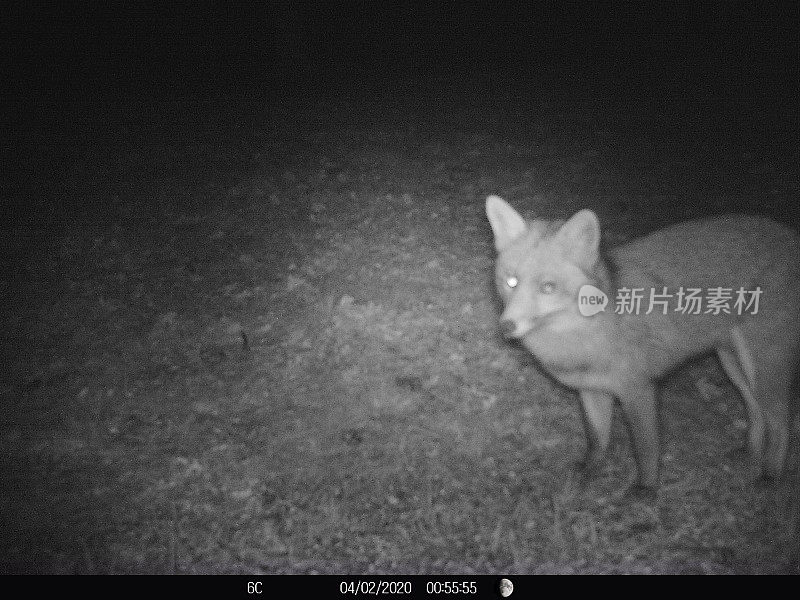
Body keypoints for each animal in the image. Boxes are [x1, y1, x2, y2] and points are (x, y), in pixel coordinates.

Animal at [484, 195, 800, 494]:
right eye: (511, 282)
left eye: (547, 287)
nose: (506, 325)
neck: (583, 339)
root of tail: (788, 234)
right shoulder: (592, 389)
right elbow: (597, 439)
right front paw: (589, 473)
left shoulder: (638, 390)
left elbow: (646, 447)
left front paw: (646, 488)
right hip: (733, 364)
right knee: (756, 410)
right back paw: (750, 452)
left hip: (761, 367)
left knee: (781, 423)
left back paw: (771, 476)